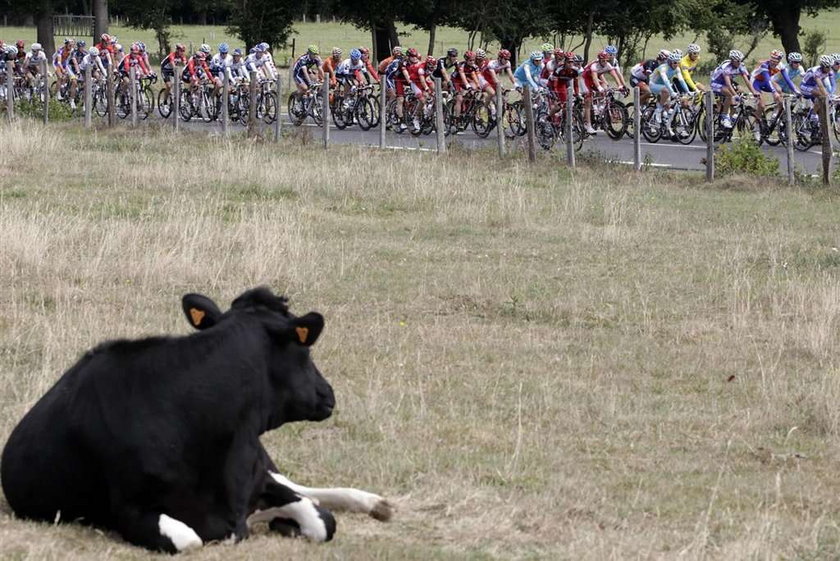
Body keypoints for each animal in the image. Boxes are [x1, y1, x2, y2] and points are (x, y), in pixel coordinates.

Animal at [0, 288, 394, 552]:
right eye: (306, 350)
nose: (328, 393)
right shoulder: (131, 510)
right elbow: (190, 540)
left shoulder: (257, 476)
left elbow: (322, 520)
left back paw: (374, 503)